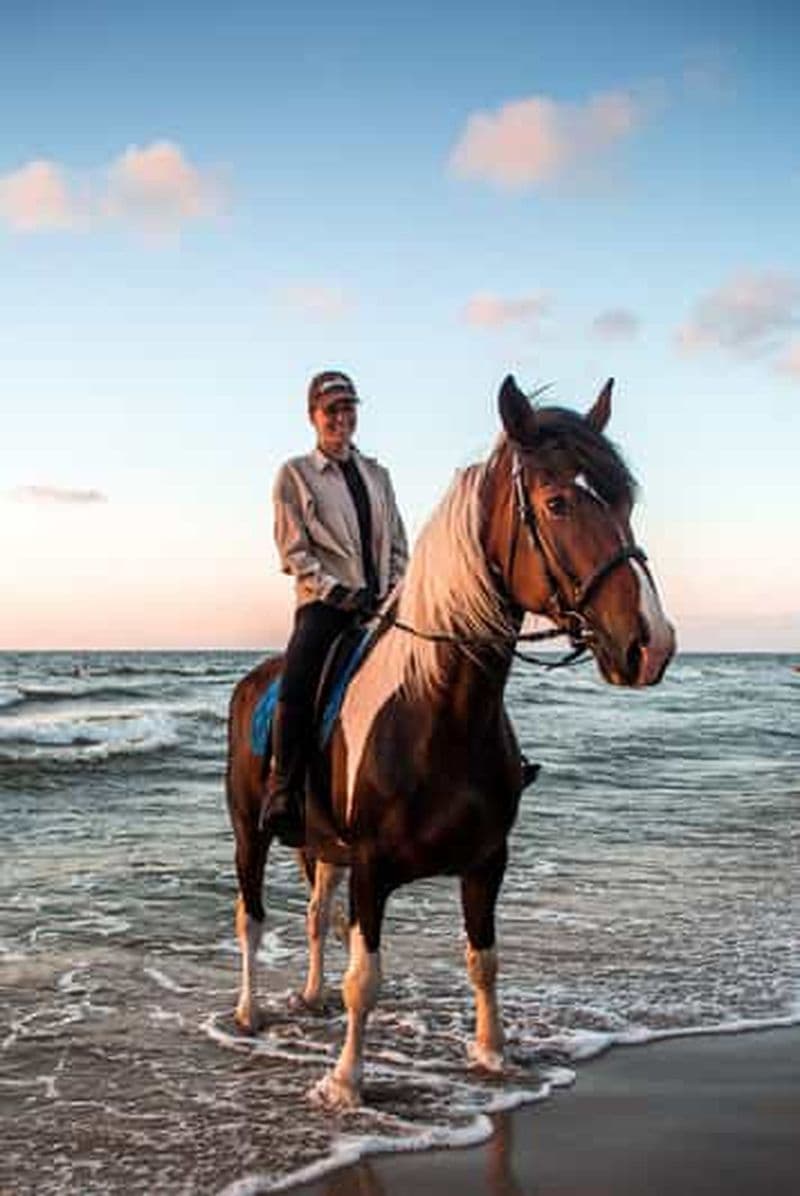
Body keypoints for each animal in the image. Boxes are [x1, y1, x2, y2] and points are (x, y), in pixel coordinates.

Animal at [225, 374, 675, 1108]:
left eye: (626, 501)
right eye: (556, 503)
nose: (651, 644)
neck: (438, 711)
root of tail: (253, 681)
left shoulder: (487, 861)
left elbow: (483, 961)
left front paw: (493, 1054)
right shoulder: (371, 869)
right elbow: (365, 979)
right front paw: (346, 1083)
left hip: (322, 847)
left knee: (316, 913)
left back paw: (310, 997)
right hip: (250, 832)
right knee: (252, 917)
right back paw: (248, 1011)